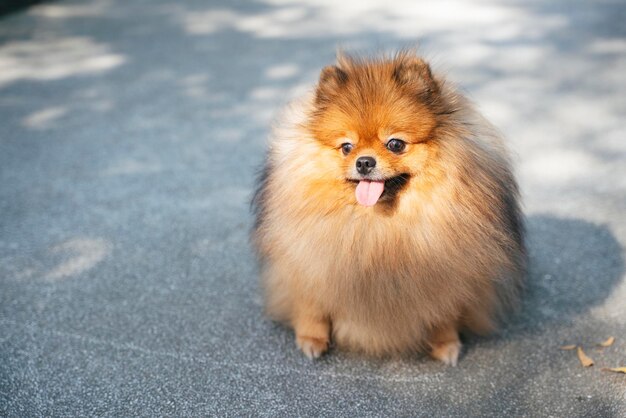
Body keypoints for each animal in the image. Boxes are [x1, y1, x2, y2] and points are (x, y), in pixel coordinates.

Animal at [251, 51, 524, 366]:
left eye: (395, 144)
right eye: (347, 147)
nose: (364, 162)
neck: (380, 226)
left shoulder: (450, 274)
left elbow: (445, 310)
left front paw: (446, 343)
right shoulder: (309, 263)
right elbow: (311, 304)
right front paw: (312, 338)